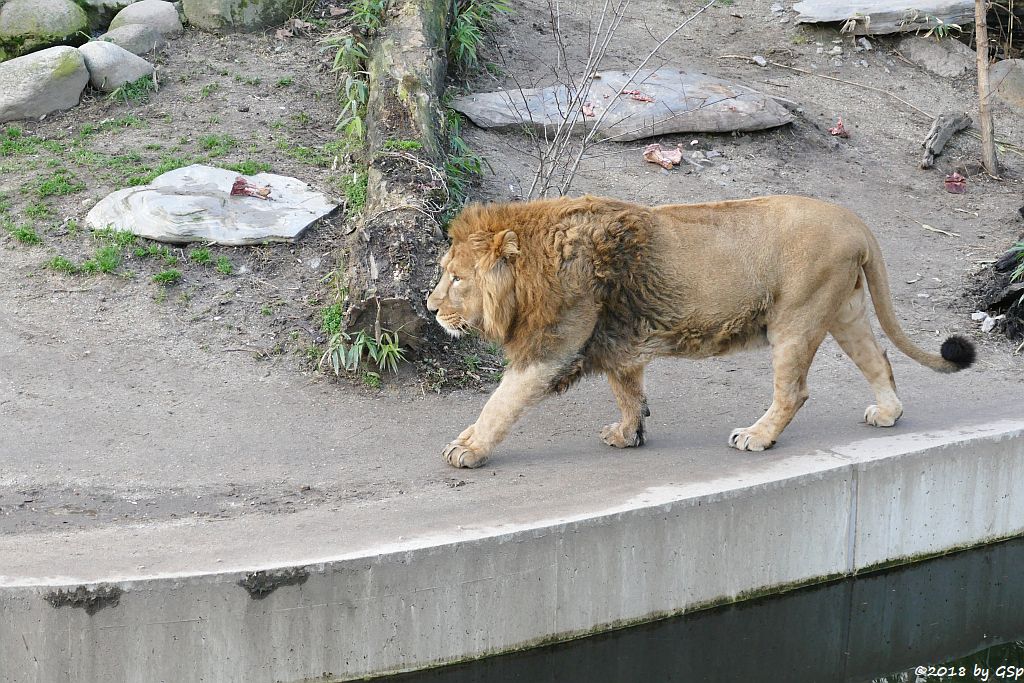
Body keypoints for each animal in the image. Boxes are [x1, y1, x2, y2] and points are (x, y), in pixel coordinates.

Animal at [425, 194, 974, 466]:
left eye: (456, 278)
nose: (430, 308)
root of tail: (855, 221)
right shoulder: (615, 340)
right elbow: (628, 391)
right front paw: (628, 433)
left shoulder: (553, 344)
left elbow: (501, 402)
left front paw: (467, 448)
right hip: (845, 310)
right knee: (878, 360)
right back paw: (888, 412)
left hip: (797, 317)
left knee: (793, 391)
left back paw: (756, 437)